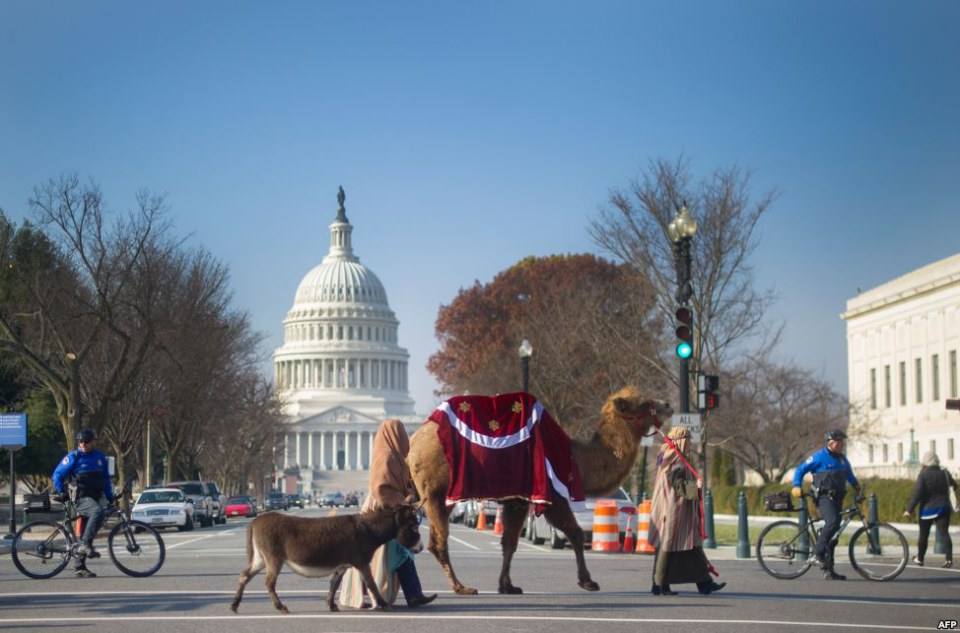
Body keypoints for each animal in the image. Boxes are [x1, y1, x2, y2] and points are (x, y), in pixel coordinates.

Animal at [408, 382, 672, 596]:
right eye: (643, 403)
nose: (668, 404)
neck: (574, 458)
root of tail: (414, 441)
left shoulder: (517, 499)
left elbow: (509, 542)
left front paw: (507, 586)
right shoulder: (553, 495)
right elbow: (575, 533)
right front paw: (588, 582)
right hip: (437, 491)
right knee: (438, 541)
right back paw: (461, 587)